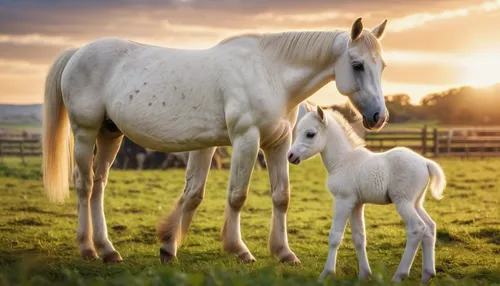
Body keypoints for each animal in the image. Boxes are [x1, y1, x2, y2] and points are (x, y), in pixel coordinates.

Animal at [288, 106, 448, 284]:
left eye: (310, 134)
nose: (291, 156)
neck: (343, 160)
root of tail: (425, 162)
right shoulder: (356, 203)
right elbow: (359, 238)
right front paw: (365, 275)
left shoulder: (343, 200)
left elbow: (335, 236)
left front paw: (326, 274)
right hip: (416, 203)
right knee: (430, 227)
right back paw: (427, 275)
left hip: (403, 201)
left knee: (417, 228)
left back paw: (399, 276)